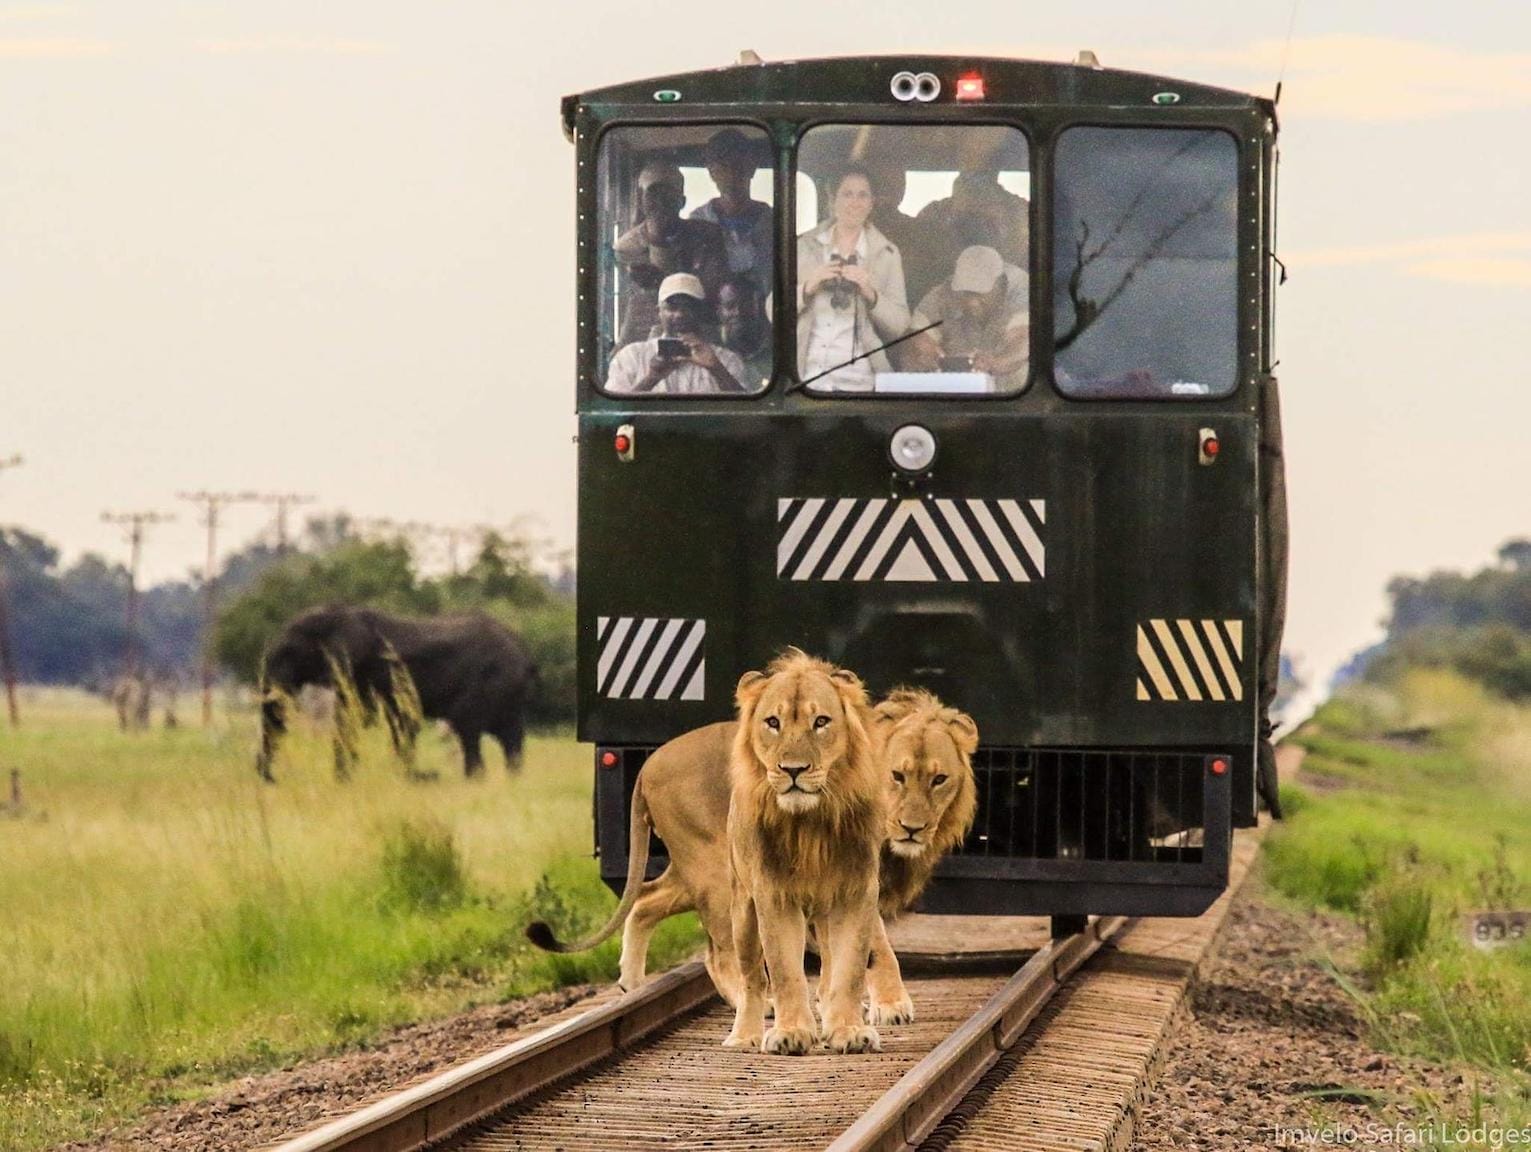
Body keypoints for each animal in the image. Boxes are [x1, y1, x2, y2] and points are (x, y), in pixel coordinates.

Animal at [254, 603, 535, 784]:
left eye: (290, 652)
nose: (270, 779)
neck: (339, 613)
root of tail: (523, 650)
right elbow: (360, 720)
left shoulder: (368, 669)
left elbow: (374, 719)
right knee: (509, 736)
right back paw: (511, 780)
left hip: (491, 681)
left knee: (468, 727)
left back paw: (473, 780)